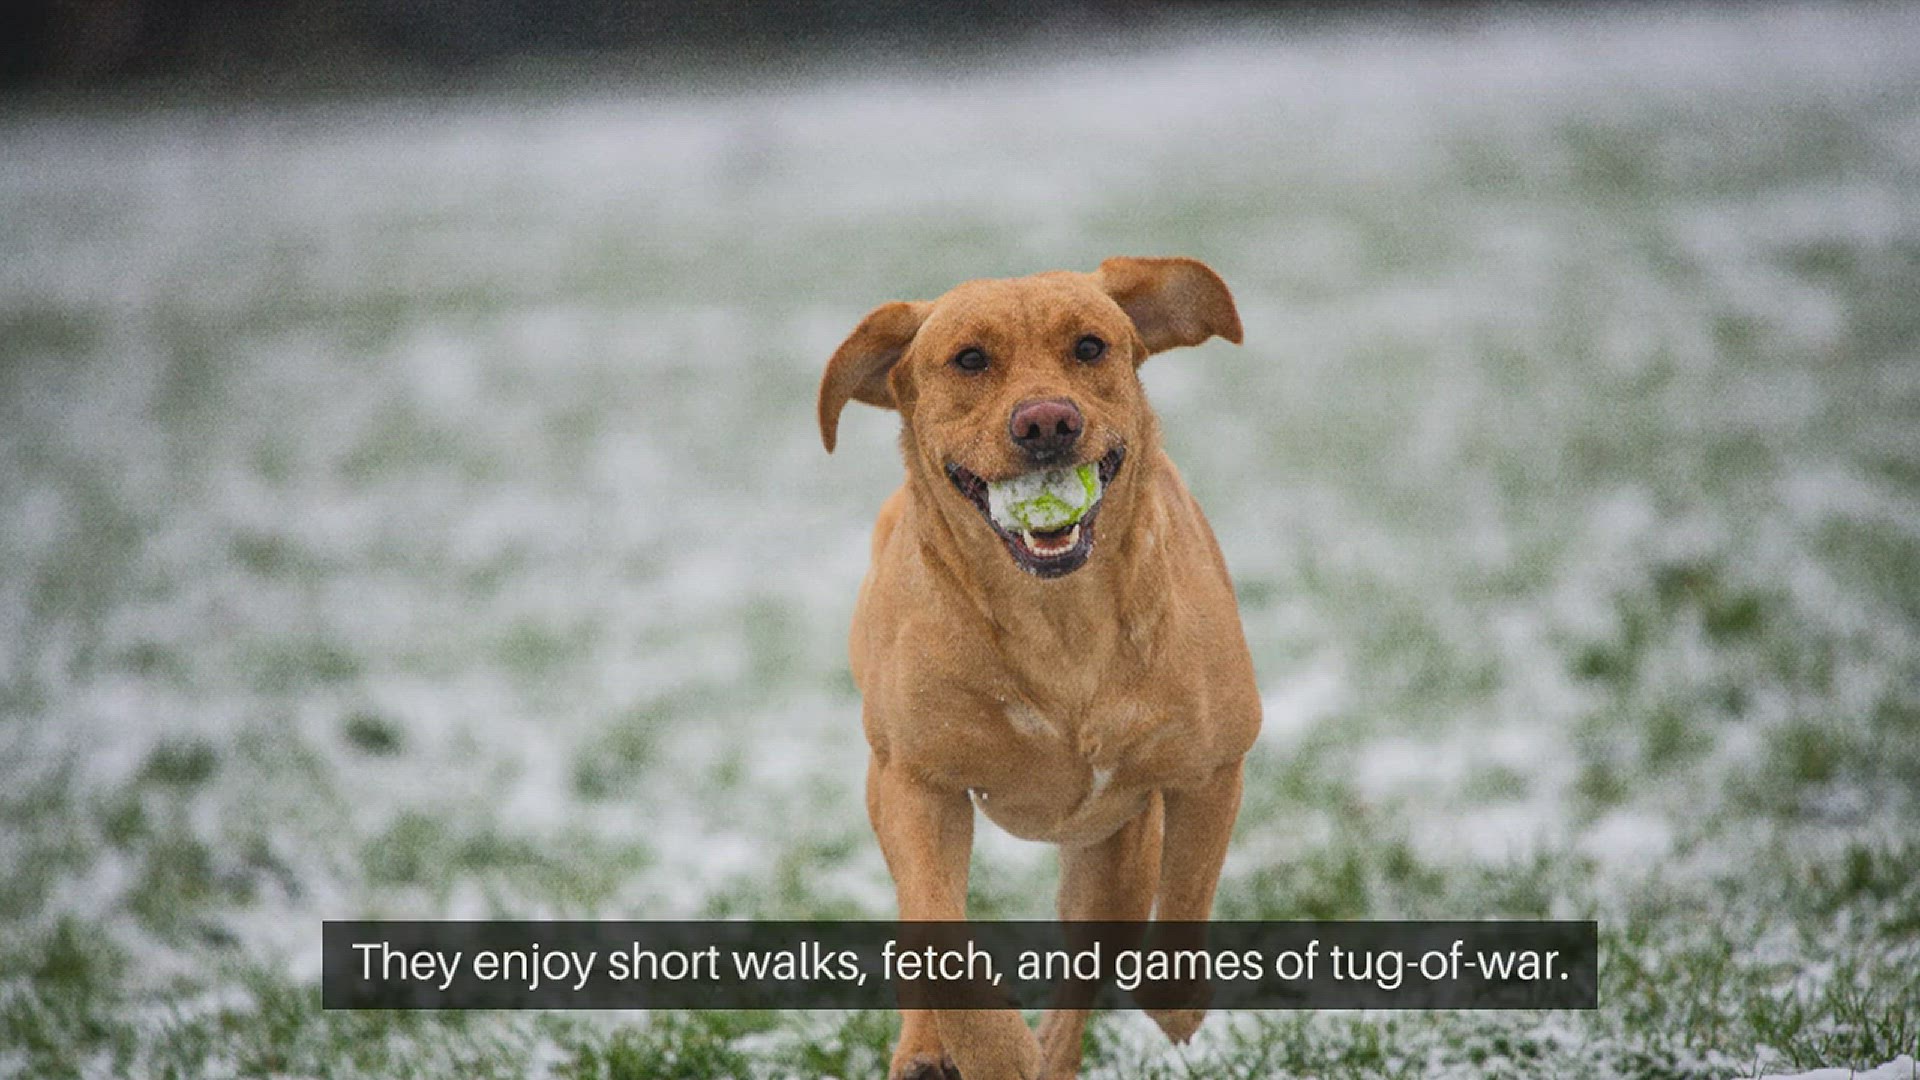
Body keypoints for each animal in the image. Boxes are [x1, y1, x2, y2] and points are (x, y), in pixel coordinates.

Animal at [821, 259, 1259, 1076]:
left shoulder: (1211, 770)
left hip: (1114, 848)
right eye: (969, 359)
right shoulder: (916, 783)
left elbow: (1182, 911)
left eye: (1090, 346)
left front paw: (1177, 1011)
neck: (1057, 624)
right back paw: (929, 1050)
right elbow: (933, 938)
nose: (1047, 422)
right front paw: (991, 1052)